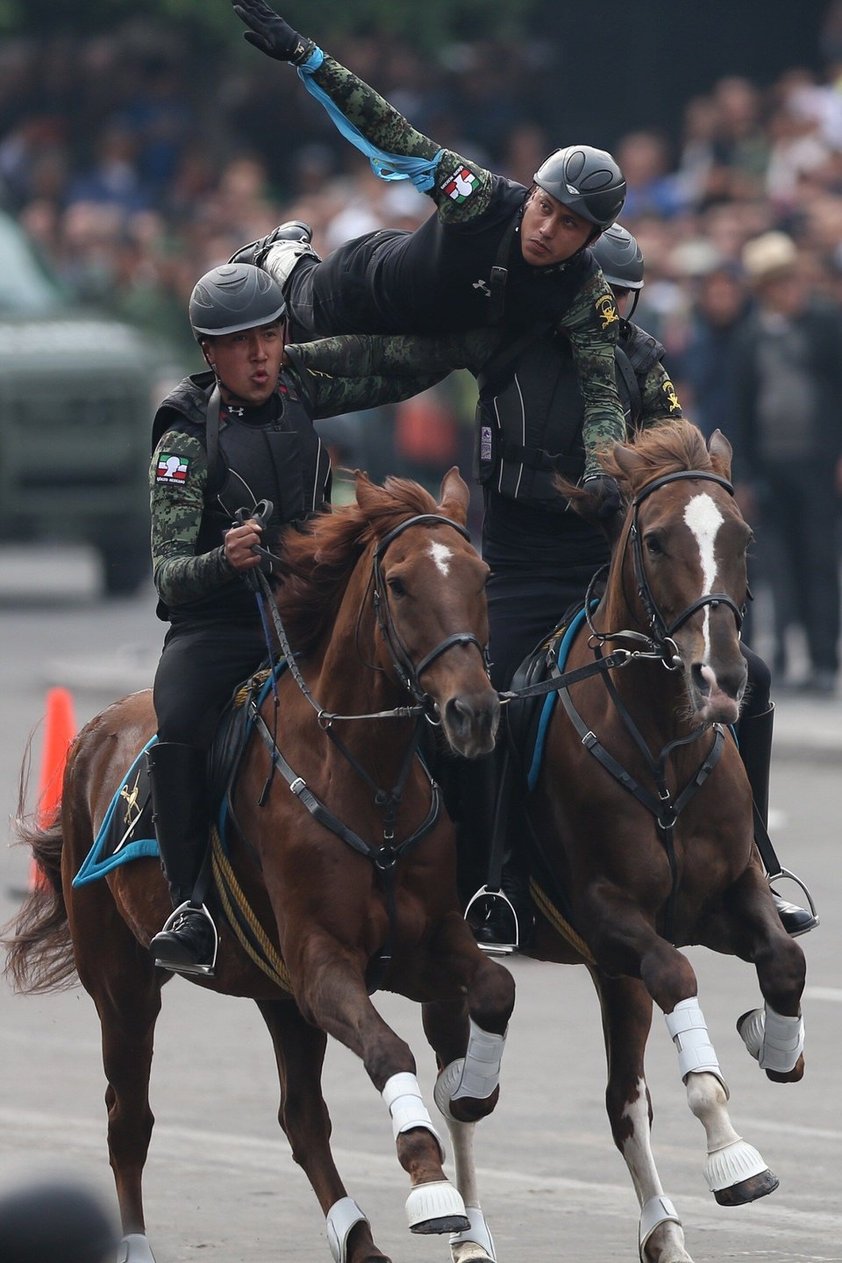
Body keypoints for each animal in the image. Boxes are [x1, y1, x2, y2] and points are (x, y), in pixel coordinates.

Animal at [1, 469, 515, 1263]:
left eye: (480, 575)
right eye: (399, 583)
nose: (473, 711)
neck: (367, 782)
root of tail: (94, 731)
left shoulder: (421, 949)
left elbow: (495, 986)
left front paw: (473, 1087)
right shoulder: (322, 964)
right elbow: (388, 1048)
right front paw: (431, 1184)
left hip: (277, 996)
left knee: (301, 1116)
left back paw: (359, 1238)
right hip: (123, 986)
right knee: (129, 1117)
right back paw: (139, 1242)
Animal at [520, 424, 802, 1263]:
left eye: (743, 536)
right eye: (654, 539)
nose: (722, 677)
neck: (663, 747)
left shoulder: (727, 892)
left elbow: (785, 959)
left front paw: (775, 1041)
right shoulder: (612, 915)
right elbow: (679, 976)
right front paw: (731, 1150)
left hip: (611, 973)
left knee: (623, 1099)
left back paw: (664, 1232)